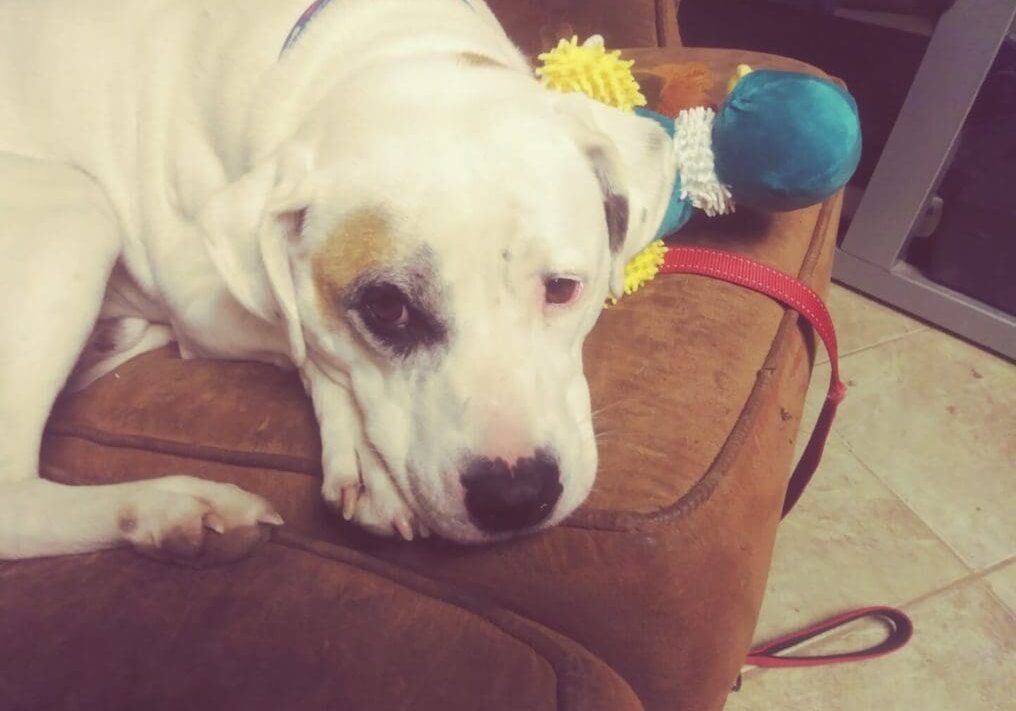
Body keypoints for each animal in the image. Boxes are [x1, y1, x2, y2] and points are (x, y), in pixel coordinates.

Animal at [0, 0, 678, 556]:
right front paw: (366, 457)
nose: (514, 496)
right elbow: (309, 343)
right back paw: (169, 509)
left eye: (563, 287)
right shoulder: (200, 299)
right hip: (77, 207)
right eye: (386, 309)